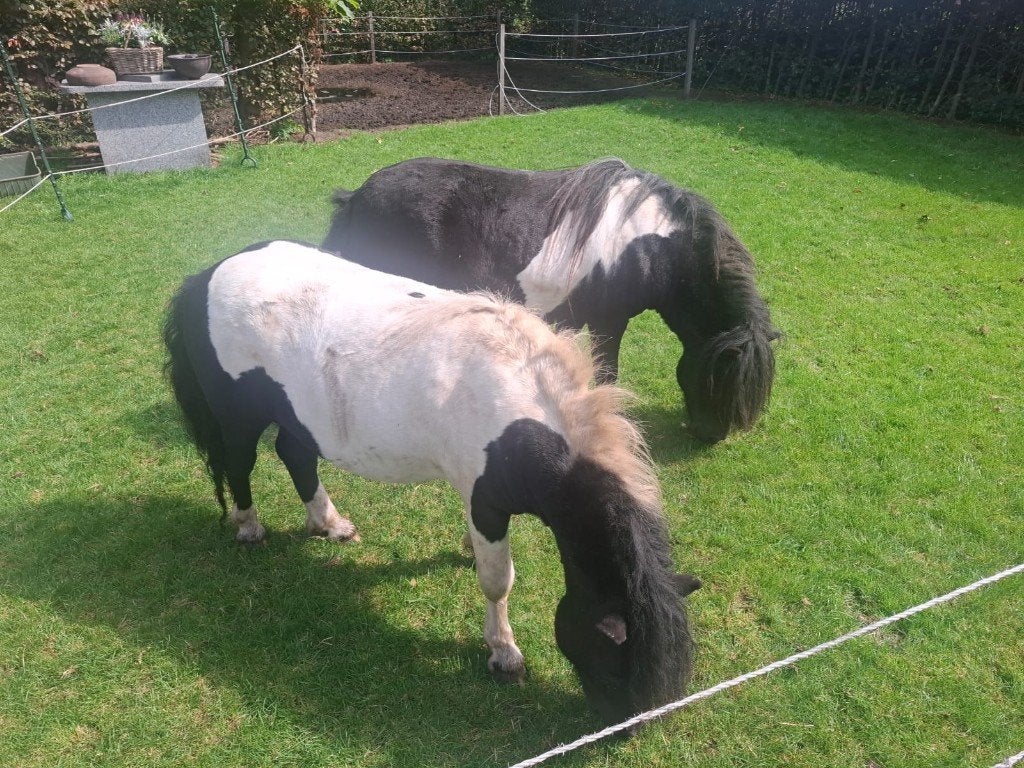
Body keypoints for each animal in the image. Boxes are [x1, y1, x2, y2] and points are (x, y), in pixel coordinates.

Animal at [163, 240, 700, 724]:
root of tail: (207, 276)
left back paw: (330, 524)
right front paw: (504, 654)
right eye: (619, 665)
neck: (523, 410)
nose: (620, 729)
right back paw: (249, 528)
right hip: (239, 417)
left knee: (295, 456)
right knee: (239, 463)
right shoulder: (487, 502)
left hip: (298, 417)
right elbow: (497, 581)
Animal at [322, 156, 780, 444]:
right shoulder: (609, 322)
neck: (647, 243)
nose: (712, 436)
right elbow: (607, 373)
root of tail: (357, 197)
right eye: (720, 379)